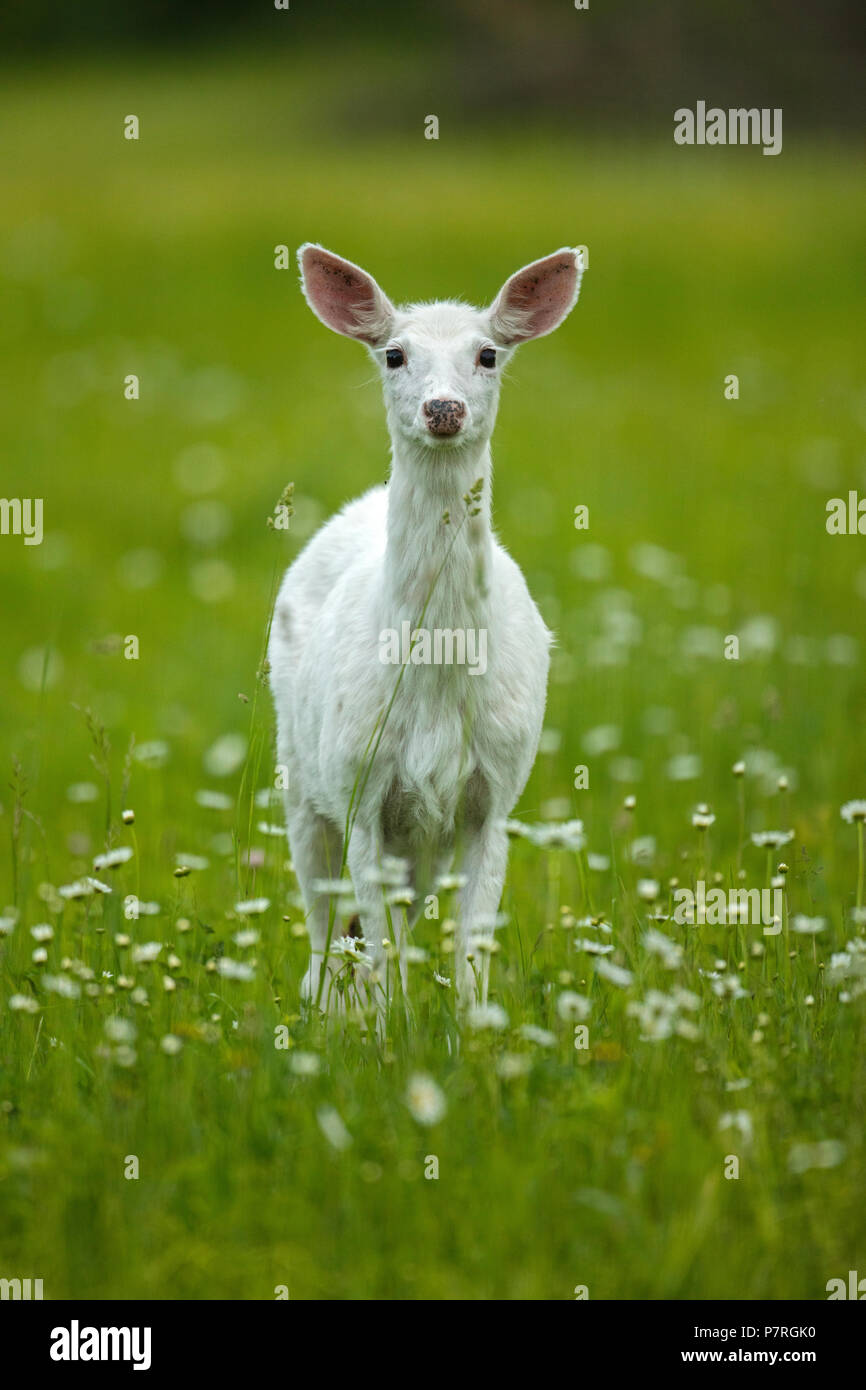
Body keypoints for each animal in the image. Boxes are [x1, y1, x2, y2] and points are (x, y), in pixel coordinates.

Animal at [268, 244, 586, 1017]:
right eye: (393, 353)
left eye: (489, 354)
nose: (444, 407)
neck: (438, 671)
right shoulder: (358, 783)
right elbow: (378, 947)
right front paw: (389, 1031)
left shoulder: (496, 791)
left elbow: (471, 950)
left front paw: (468, 1034)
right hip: (299, 770)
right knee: (323, 925)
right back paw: (323, 1008)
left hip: (423, 836)